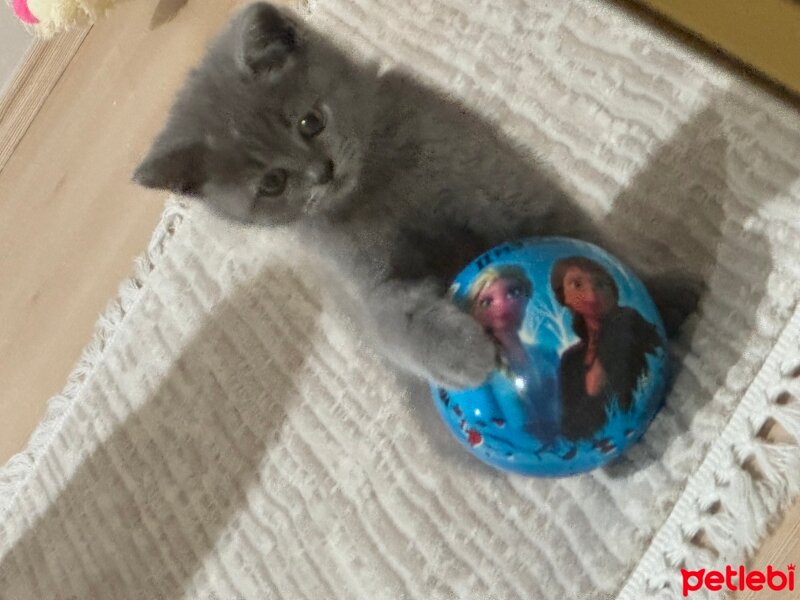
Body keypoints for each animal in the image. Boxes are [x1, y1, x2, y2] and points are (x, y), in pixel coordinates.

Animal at [134, 2, 692, 390]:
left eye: (310, 123)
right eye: (271, 184)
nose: (322, 172)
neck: (376, 187)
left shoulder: (504, 186)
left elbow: (576, 239)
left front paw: (650, 302)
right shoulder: (366, 282)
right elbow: (397, 321)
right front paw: (464, 355)